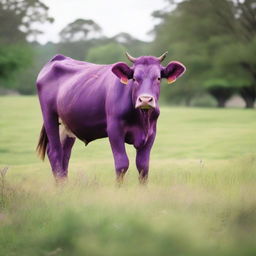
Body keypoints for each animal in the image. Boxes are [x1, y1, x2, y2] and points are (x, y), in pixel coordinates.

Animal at [36, 52, 185, 184]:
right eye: (135, 78)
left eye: (158, 78)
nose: (145, 100)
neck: (141, 119)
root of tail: (58, 58)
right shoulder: (114, 129)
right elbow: (122, 163)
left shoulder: (151, 133)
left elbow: (143, 166)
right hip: (49, 116)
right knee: (54, 152)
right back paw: (61, 186)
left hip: (68, 125)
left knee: (65, 154)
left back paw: (65, 185)